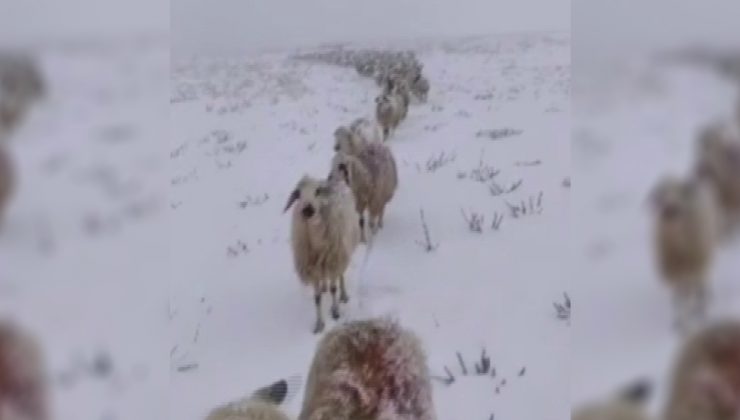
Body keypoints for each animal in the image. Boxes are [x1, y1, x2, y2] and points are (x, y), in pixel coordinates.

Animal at [284, 175, 362, 334]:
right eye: (298, 194)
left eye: (317, 191)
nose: (308, 209)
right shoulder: (313, 269)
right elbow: (317, 297)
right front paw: (319, 324)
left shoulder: (334, 261)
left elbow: (334, 289)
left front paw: (335, 312)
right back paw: (324, 287)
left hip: (342, 254)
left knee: (340, 276)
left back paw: (343, 295)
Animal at [652, 174, 720, 334]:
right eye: (661, 195)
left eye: (681, 192)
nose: (669, 209)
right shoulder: (675, 273)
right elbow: (678, 300)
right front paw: (679, 323)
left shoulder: (692, 268)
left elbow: (688, 298)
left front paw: (688, 325)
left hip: (702, 262)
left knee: (701, 285)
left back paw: (701, 307)